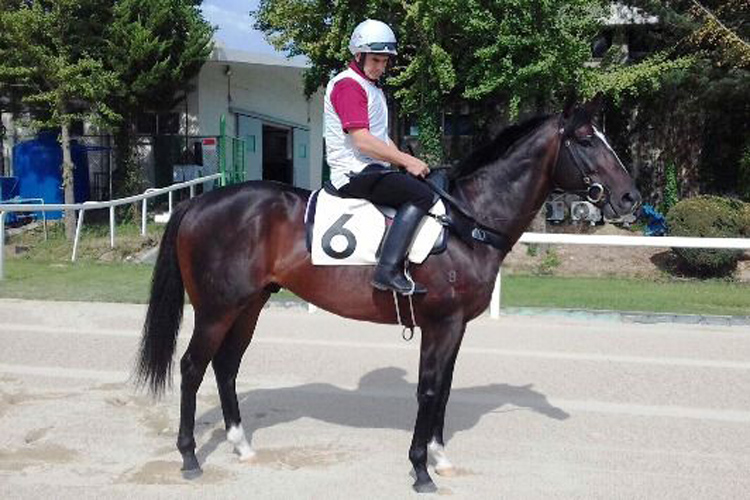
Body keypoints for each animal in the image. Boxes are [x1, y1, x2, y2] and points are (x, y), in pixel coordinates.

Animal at [134, 97, 640, 492]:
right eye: (587, 140)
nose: (631, 198)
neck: (466, 220)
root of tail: (198, 201)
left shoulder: (455, 327)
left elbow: (444, 388)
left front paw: (439, 457)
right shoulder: (442, 323)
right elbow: (429, 388)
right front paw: (420, 469)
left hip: (250, 305)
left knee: (226, 366)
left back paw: (241, 446)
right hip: (216, 309)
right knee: (192, 367)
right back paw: (189, 457)